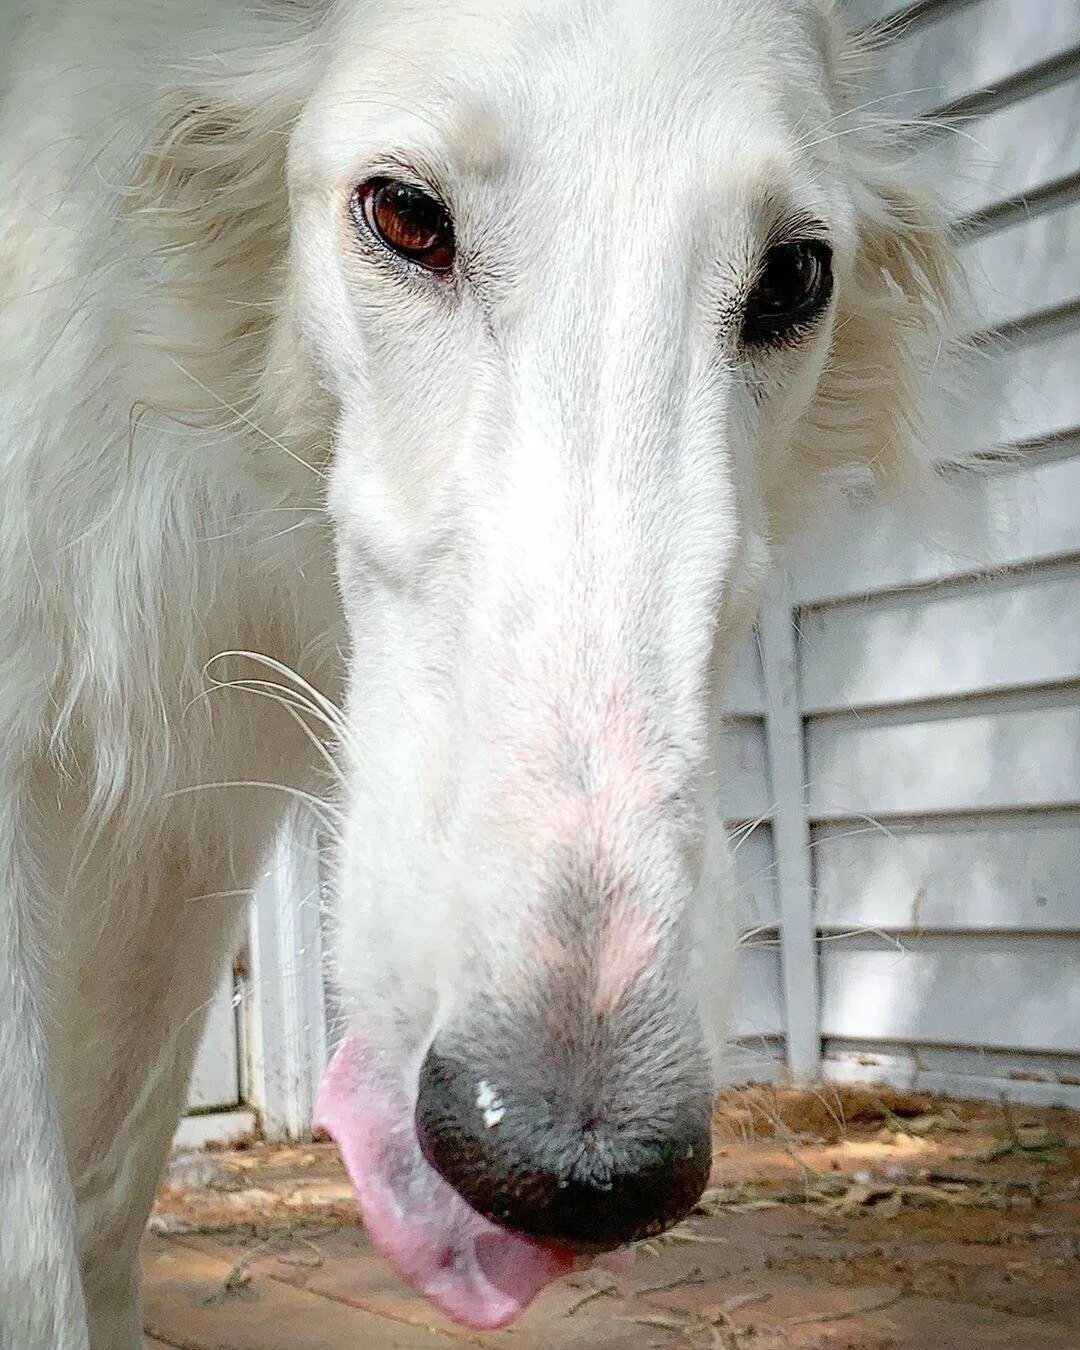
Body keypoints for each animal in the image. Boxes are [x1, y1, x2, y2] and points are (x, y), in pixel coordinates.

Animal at [0, 5, 955, 1344]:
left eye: (794, 278)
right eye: (403, 213)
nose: (572, 1165)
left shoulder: (193, 804)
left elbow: (98, 1205)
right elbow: (36, 1255)